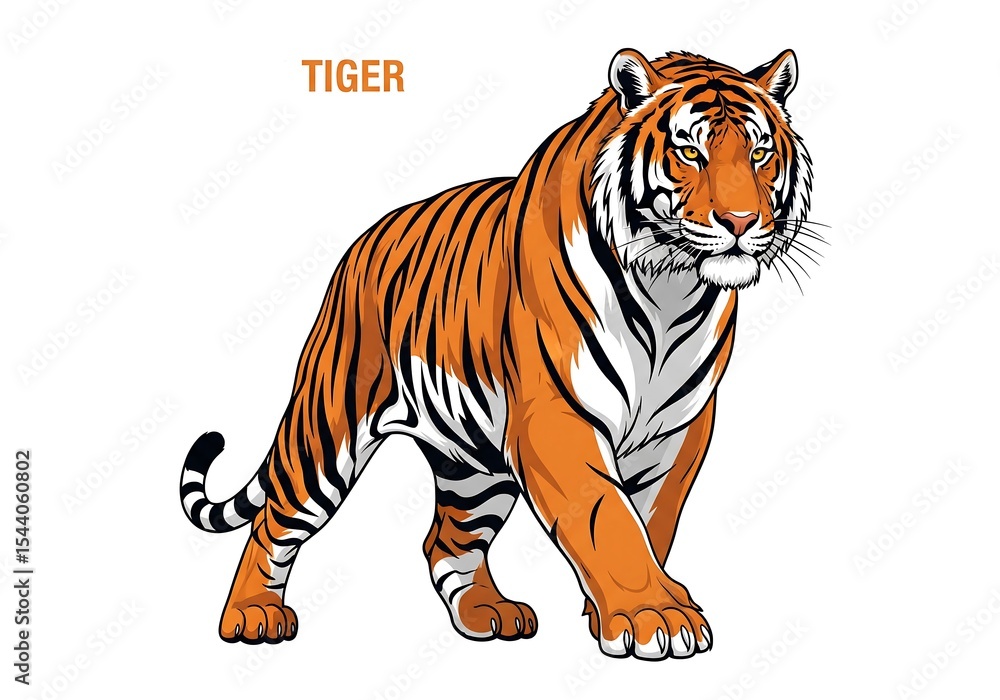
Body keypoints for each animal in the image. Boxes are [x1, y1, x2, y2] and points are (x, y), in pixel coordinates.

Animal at [180, 47, 816, 660]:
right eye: (689, 152)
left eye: (760, 152)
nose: (742, 222)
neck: (671, 289)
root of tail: (362, 242)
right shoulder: (556, 417)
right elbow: (606, 514)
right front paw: (654, 617)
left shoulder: (681, 428)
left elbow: (653, 520)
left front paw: (615, 611)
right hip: (327, 429)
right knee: (273, 520)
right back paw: (252, 616)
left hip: (474, 464)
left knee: (446, 540)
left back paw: (487, 613)